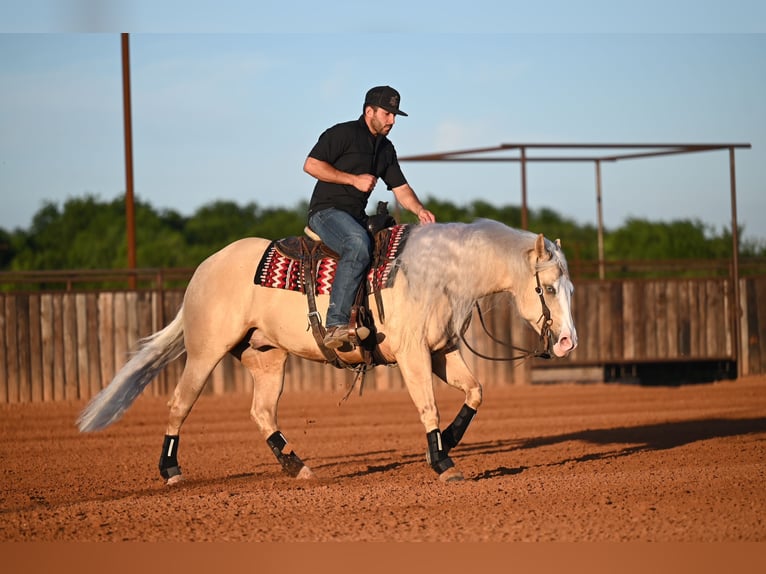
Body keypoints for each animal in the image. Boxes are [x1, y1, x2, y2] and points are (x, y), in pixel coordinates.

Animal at [77, 219, 577, 483]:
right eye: (550, 287)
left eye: (569, 288)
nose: (568, 341)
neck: (439, 274)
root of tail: (205, 268)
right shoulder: (413, 355)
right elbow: (428, 407)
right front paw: (442, 462)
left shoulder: (442, 351)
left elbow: (475, 392)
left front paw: (450, 442)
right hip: (204, 352)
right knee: (179, 404)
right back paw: (170, 469)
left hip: (267, 357)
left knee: (262, 412)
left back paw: (296, 464)